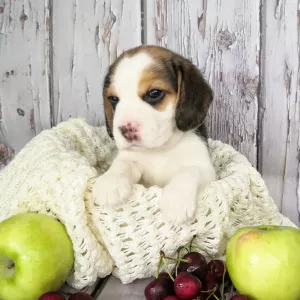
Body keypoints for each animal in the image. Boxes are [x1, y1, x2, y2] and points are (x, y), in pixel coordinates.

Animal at [92, 44, 217, 223]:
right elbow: (122, 164)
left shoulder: (206, 169)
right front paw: (110, 182)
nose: (126, 130)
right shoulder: (133, 160)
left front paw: (176, 200)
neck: (161, 149)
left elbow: (189, 171)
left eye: (154, 93)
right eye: (114, 99)